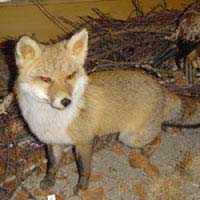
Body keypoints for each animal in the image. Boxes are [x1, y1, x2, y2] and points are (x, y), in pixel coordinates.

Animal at [15, 28, 200, 193]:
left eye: (70, 76)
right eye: (45, 79)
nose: (66, 101)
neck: (51, 119)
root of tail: (161, 88)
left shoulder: (84, 142)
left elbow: (84, 169)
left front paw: (82, 188)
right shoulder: (53, 142)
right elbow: (52, 165)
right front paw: (49, 181)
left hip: (130, 137)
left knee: (159, 136)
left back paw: (145, 155)